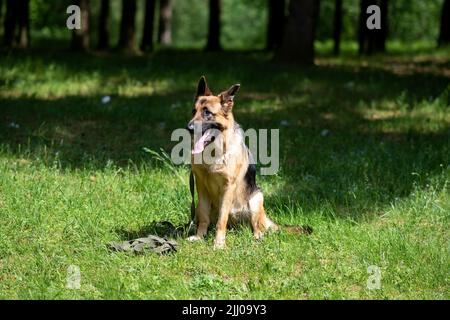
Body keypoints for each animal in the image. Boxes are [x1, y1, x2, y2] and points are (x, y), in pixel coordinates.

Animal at [186, 76, 310, 249]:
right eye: (193, 111)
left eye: (207, 113)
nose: (188, 128)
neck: (213, 152)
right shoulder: (201, 187)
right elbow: (204, 216)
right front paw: (199, 237)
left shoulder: (228, 187)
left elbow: (221, 221)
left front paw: (218, 244)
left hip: (256, 199)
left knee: (256, 227)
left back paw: (256, 238)